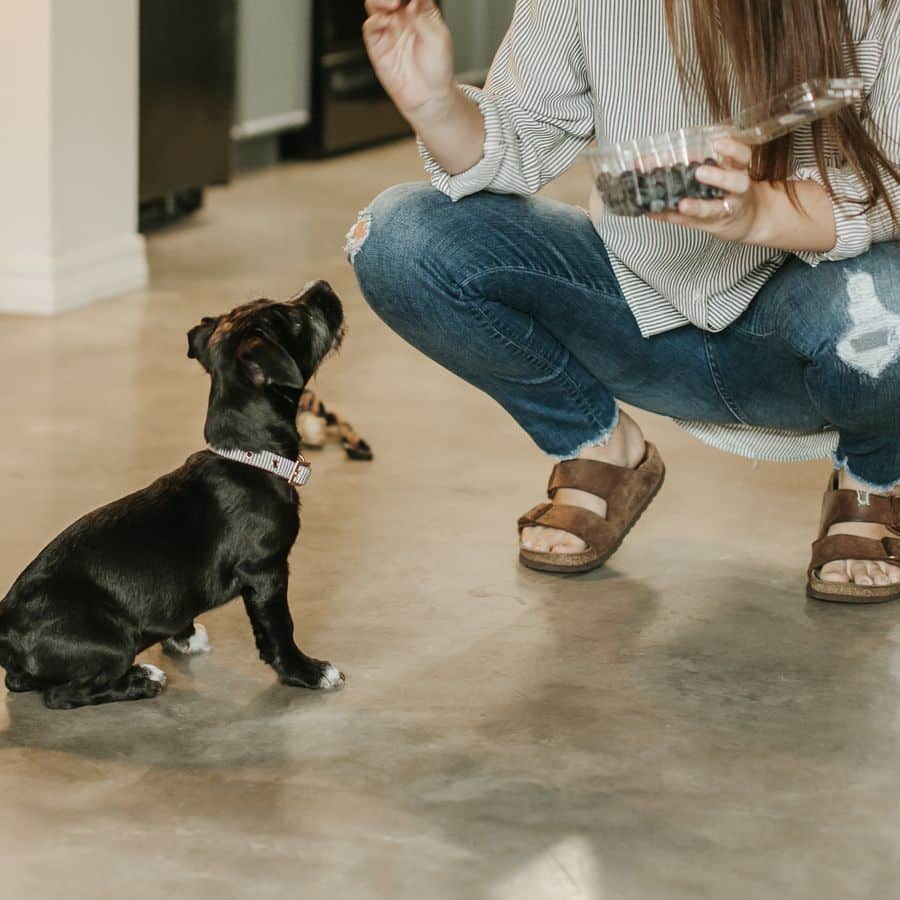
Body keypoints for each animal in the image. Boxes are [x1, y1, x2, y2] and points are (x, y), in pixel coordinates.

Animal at [0, 282, 346, 712]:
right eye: (297, 320)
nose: (324, 286)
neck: (249, 456)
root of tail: (5, 632)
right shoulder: (266, 572)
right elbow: (280, 629)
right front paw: (307, 671)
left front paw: (181, 635)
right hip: (111, 643)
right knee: (63, 694)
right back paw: (142, 680)